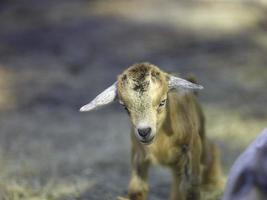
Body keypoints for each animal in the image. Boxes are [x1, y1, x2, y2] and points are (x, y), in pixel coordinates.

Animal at [80, 63, 223, 200]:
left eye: (162, 101)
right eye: (124, 107)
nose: (144, 131)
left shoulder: (192, 146)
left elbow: (191, 187)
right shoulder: (138, 154)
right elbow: (136, 190)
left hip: (201, 136)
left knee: (211, 151)